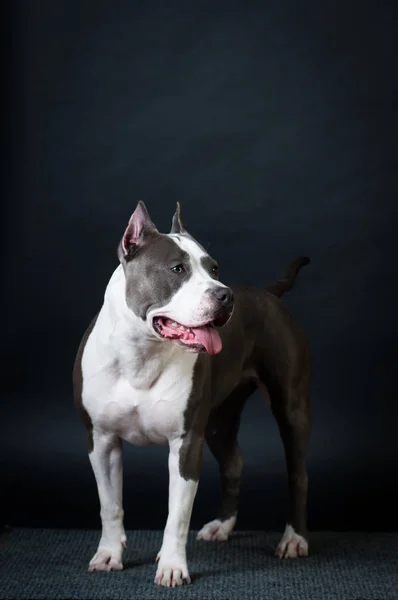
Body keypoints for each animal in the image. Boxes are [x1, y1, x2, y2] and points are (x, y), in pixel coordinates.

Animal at [74, 202, 310, 584]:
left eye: (214, 269)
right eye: (177, 269)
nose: (225, 294)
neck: (141, 352)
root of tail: (268, 293)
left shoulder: (185, 445)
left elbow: (177, 517)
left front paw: (172, 566)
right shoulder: (102, 440)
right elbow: (110, 505)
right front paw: (109, 554)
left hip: (291, 409)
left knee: (298, 474)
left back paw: (294, 539)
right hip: (218, 421)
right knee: (233, 462)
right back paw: (222, 526)